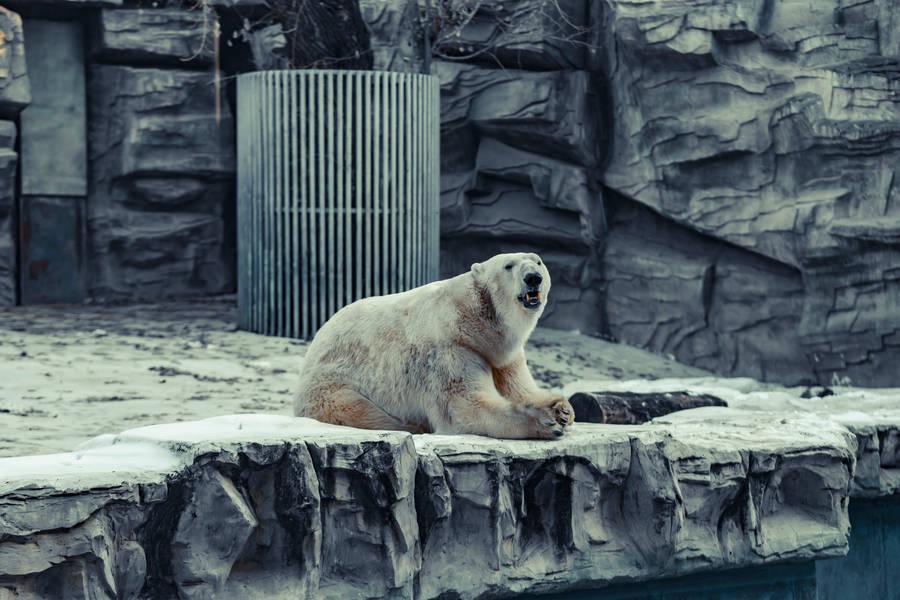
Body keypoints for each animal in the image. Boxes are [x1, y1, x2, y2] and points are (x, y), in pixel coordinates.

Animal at [293, 252, 574, 439]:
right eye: (508, 265)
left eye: (538, 261)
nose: (533, 278)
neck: (477, 324)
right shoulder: (450, 350)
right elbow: (466, 408)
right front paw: (546, 420)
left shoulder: (503, 357)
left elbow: (520, 388)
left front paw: (562, 409)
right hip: (332, 385)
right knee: (361, 411)